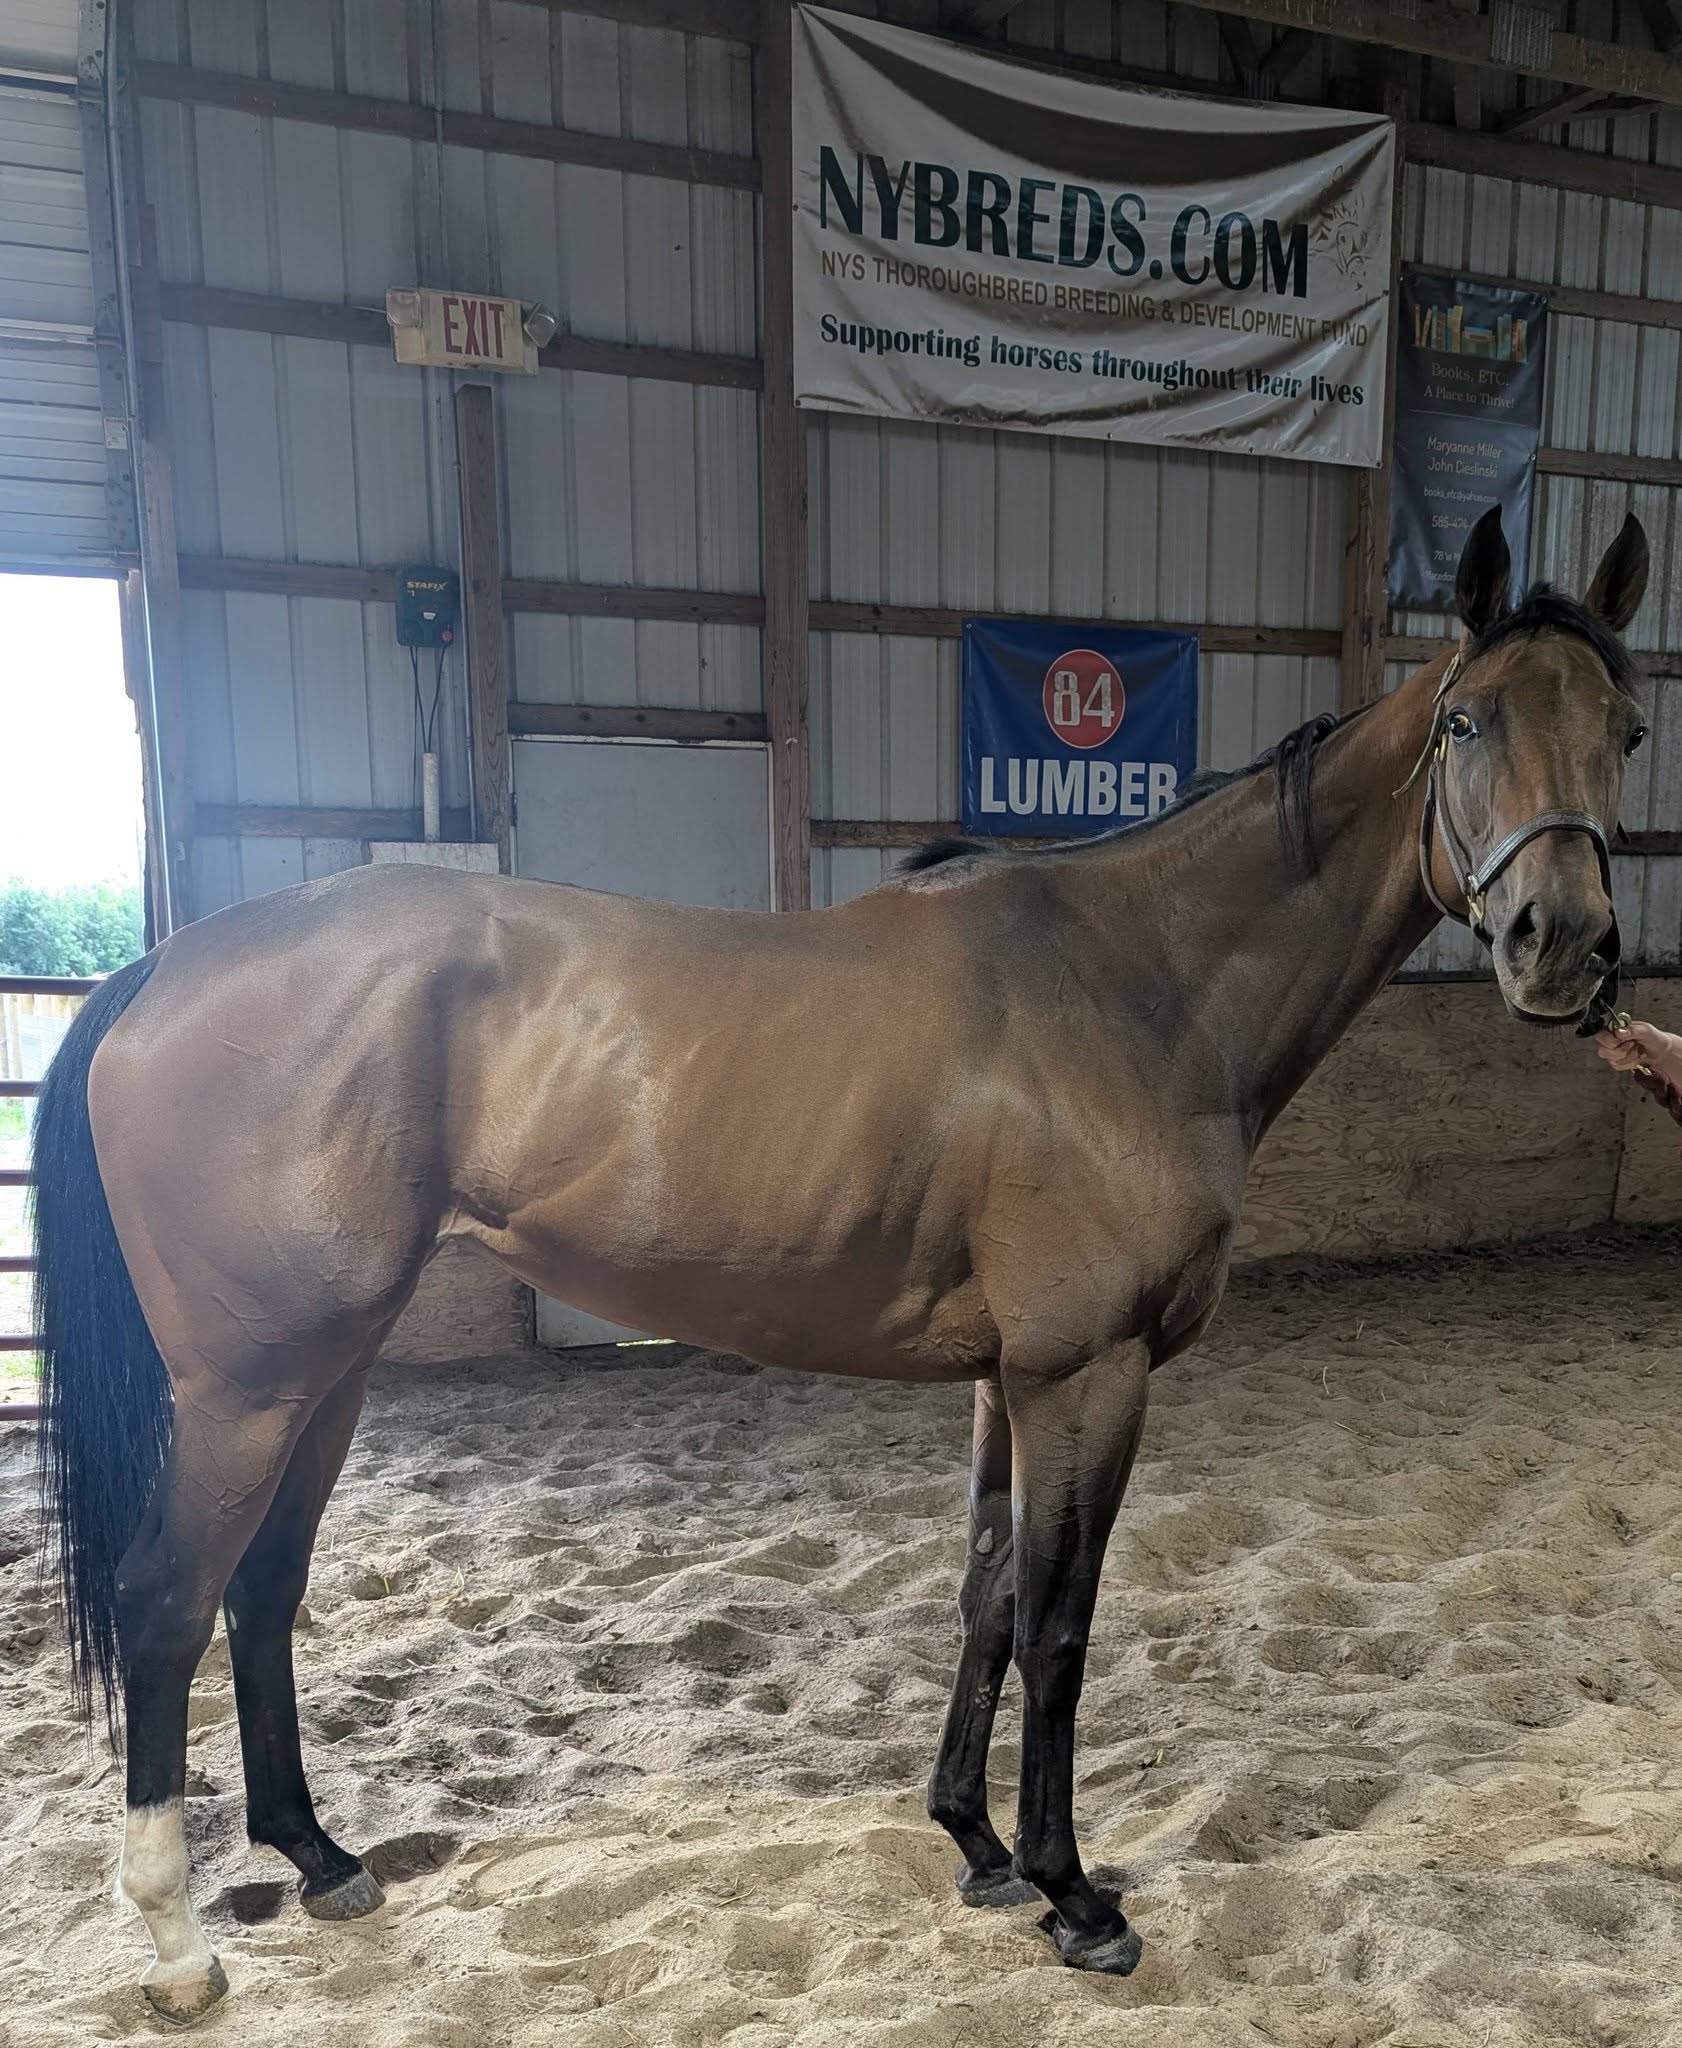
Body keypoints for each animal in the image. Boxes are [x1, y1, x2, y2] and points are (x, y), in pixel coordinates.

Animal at [30, 504, 1649, 2022]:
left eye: (1625, 728)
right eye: (1464, 721)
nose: (1560, 946)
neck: (1134, 989)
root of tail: (160, 969)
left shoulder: (1010, 1379)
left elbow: (986, 1594)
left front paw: (977, 1849)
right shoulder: (1088, 1372)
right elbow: (1061, 1622)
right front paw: (1073, 1896)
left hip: (330, 1372)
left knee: (262, 1590)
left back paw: (319, 1858)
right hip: (252, 1387)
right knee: (169, 1598)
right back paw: (180, 1946)